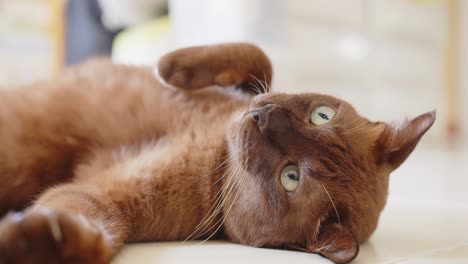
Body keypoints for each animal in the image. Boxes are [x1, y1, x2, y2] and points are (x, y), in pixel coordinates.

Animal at [0, 43, 436, 264]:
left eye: (291, 176)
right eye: (321, 115)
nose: (264, 117)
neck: (217, 145)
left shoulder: (111, 199)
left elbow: (88, 225)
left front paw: (39, 241)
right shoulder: (247, 89)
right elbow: (257, 57)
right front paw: (170, 65)